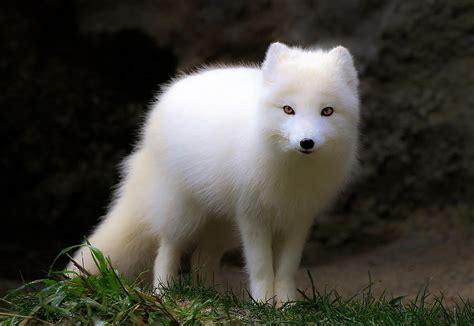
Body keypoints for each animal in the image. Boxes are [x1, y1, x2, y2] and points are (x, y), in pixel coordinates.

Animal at [67, 42, 360, 304]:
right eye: (288, 110)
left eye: (327, 111)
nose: (306, 143)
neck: (293, 173)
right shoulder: (252, 216)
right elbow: (262, 268)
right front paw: (264, 305)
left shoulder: (298, 218)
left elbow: (286, 269)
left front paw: (287, 306)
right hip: (184, 213)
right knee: (167, 249)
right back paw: (165, 294)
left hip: (223, 224)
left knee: (202, 258)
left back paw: (213, 296)